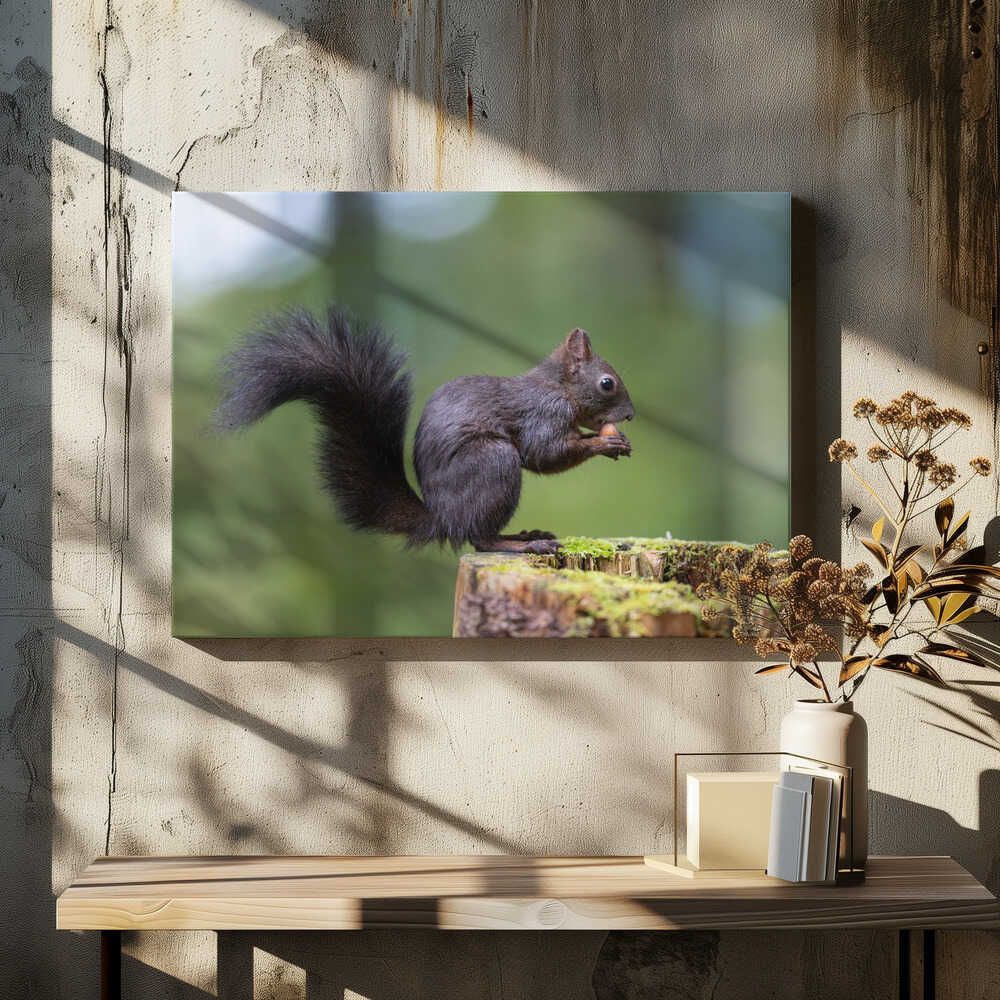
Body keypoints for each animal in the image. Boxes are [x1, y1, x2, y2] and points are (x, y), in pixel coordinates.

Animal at [215, 306, 635, 554]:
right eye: (607, 384)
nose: (630, 416)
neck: (558, 387)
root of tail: (441, 518)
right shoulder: (542, 414)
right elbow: (544, 454)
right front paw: (602, 443)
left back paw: (527, 535)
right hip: (493, 464)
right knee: (479, 539)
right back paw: (521, 545)